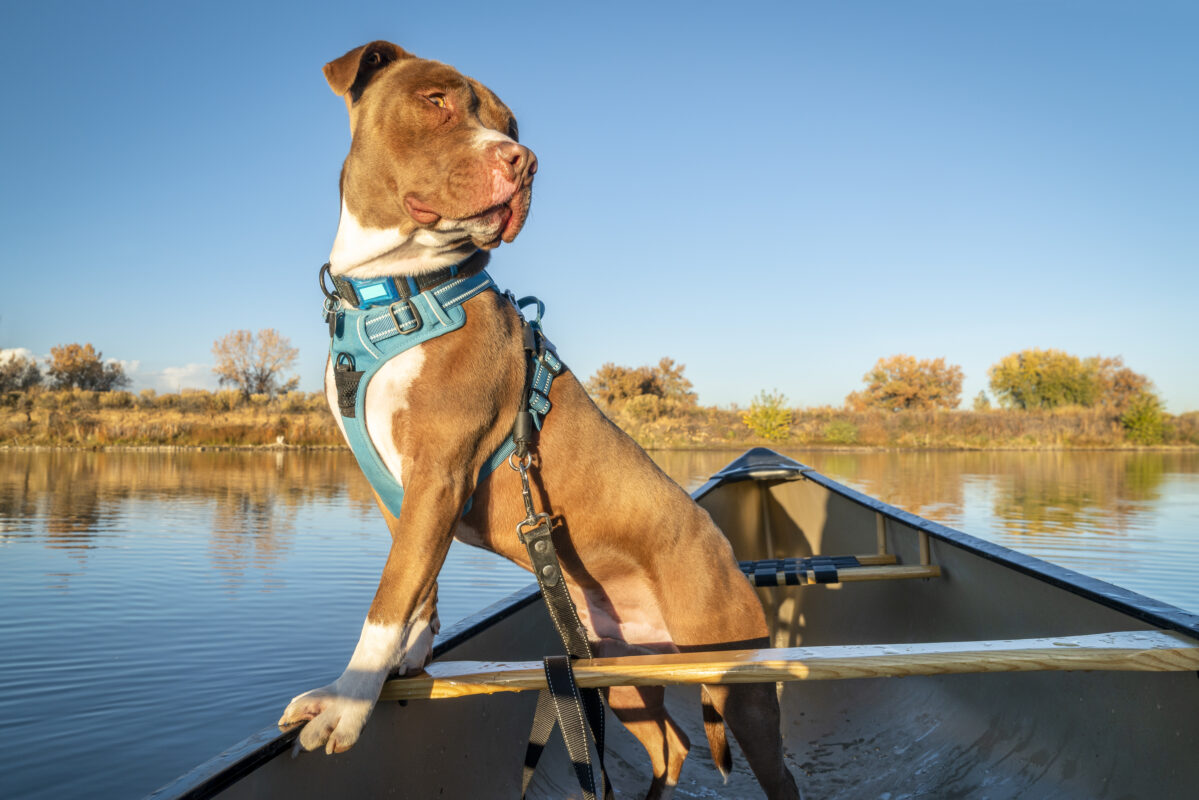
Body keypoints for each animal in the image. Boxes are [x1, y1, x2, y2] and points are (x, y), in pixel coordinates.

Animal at [276, 43, 800, 800]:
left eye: (509, 125)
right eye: (434, 99)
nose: (522, 160)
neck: (395, 289)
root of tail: (725, 550)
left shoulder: (440, 473)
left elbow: (390, 590)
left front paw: (347, 702)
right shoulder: (402, 492)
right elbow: (415, 580)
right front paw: (407, 658)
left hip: (737, 680)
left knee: (774, 767)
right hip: (613, 673)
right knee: (669, 744)